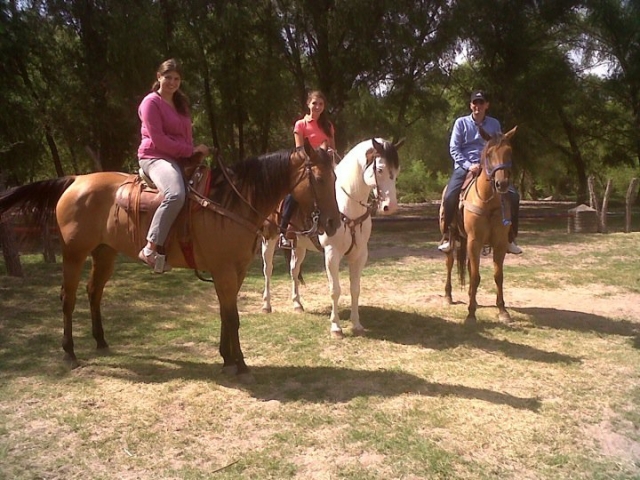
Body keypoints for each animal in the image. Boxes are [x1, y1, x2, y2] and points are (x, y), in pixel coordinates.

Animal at [0, 142, 341, 377]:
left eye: (336, 175)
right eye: (319, 178)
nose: (334, 222)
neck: (231, 201)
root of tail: (75, 180)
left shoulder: (236, 271)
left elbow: (225, 313)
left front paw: (227, 358)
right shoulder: (224, 270)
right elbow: (232, 317)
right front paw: (241, 364)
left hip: (105, 253)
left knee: (93, 292)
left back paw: (101, 342)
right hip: (74, 253)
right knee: (67, 298)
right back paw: (69, 353)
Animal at [261, 138, 402, 338]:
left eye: (397, 171)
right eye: (380, 169)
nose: (391, 207)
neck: (347, 206)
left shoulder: (359, 255)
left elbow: (355, 289)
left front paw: (356, 324)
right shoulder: (331, 254)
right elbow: (335, 290)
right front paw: (336, 327)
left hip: (299, 246)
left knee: (294, 270)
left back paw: (297, 304)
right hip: (269, 237)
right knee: (268, 269)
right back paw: (266, 305)